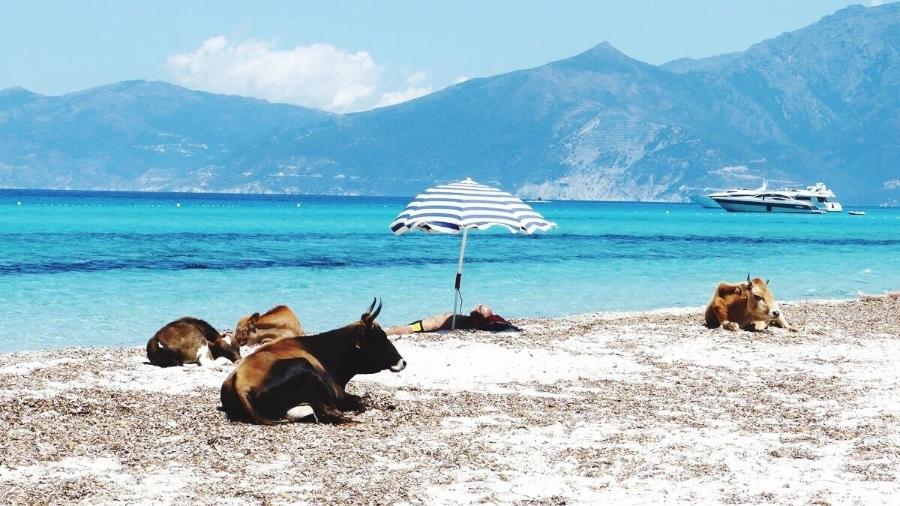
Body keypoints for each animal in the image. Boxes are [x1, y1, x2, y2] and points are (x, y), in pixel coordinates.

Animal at [220, 298, 406, 424]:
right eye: (379, 338)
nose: (402, 361)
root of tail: (240, 384)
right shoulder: (339, 395)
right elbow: (359, 402)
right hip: (305, 368)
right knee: (331, 413)